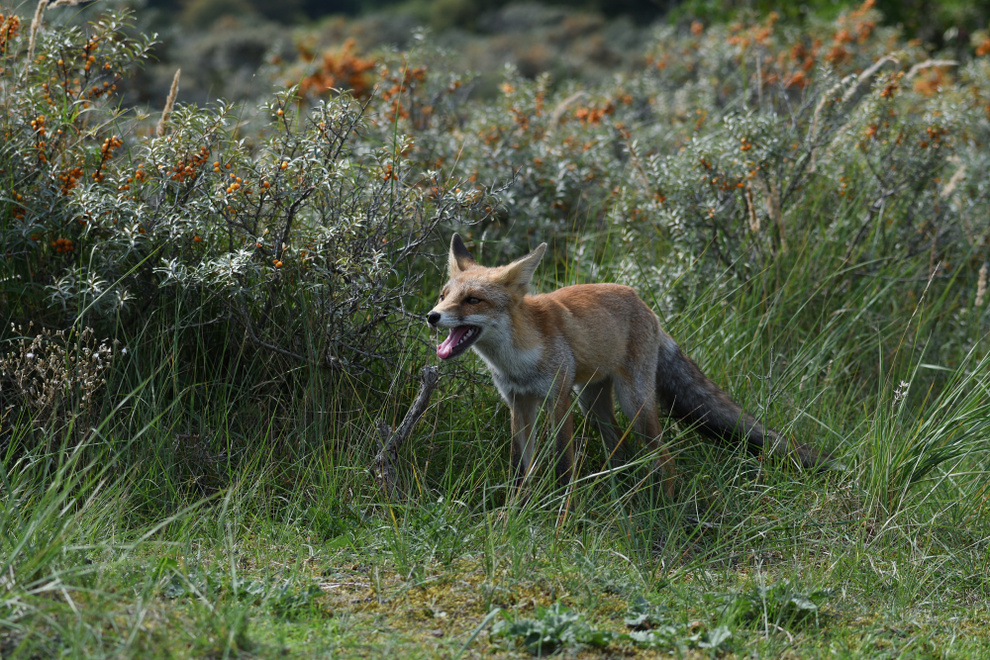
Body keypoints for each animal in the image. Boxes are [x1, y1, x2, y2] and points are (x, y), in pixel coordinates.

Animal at [426, 235, 836, 498]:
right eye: (444, 296)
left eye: (473, 300)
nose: (431, 316)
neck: (518, 360)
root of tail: (644, 304)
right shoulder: (518, 402)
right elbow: (519, 469)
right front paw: (515, 513)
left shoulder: (558, 400)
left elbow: (565, 467)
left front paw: (562, 518)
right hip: (594, 402)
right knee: (620, 450)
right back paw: (622, 491)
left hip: (632, 402)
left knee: (664, 459)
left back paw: (667, 508)